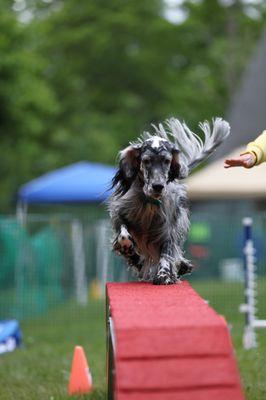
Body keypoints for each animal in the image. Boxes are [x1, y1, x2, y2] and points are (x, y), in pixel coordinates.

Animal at [107, 116, 230, 284]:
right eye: (146, 160)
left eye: (166, 160)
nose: (158, 186)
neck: (148, 203)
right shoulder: (119, 215)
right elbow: (123, 235)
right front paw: (129, 250)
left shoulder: (168, 230)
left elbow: (167, 253)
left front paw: (164, 274)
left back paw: (181, 266)